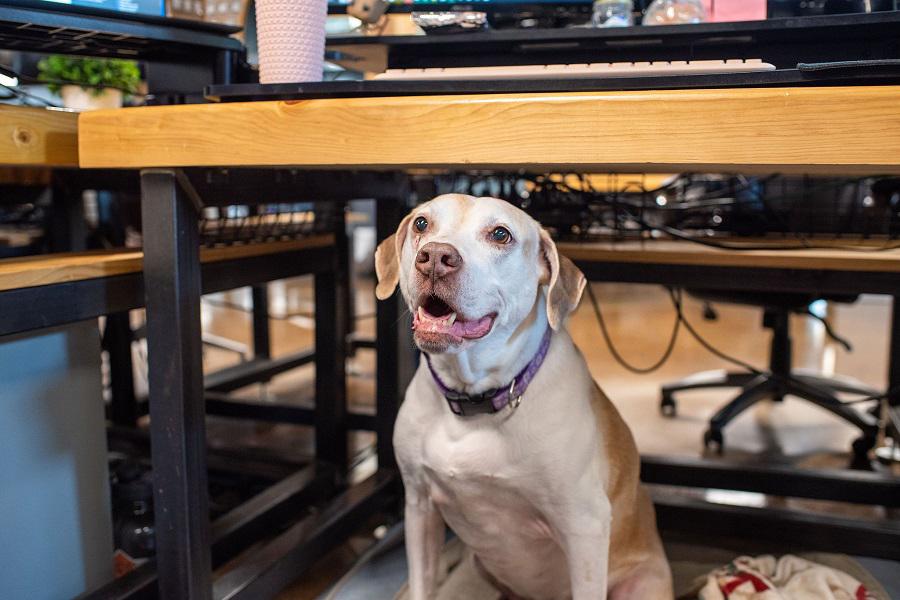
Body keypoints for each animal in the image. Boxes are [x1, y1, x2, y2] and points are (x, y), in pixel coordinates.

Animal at [375, 194, 673, 600]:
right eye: (422, 223)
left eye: (501, 234)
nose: (435, 256)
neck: (475, 399)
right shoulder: (420, 507)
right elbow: (422, 583)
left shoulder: (585, 526)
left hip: (641, 582)